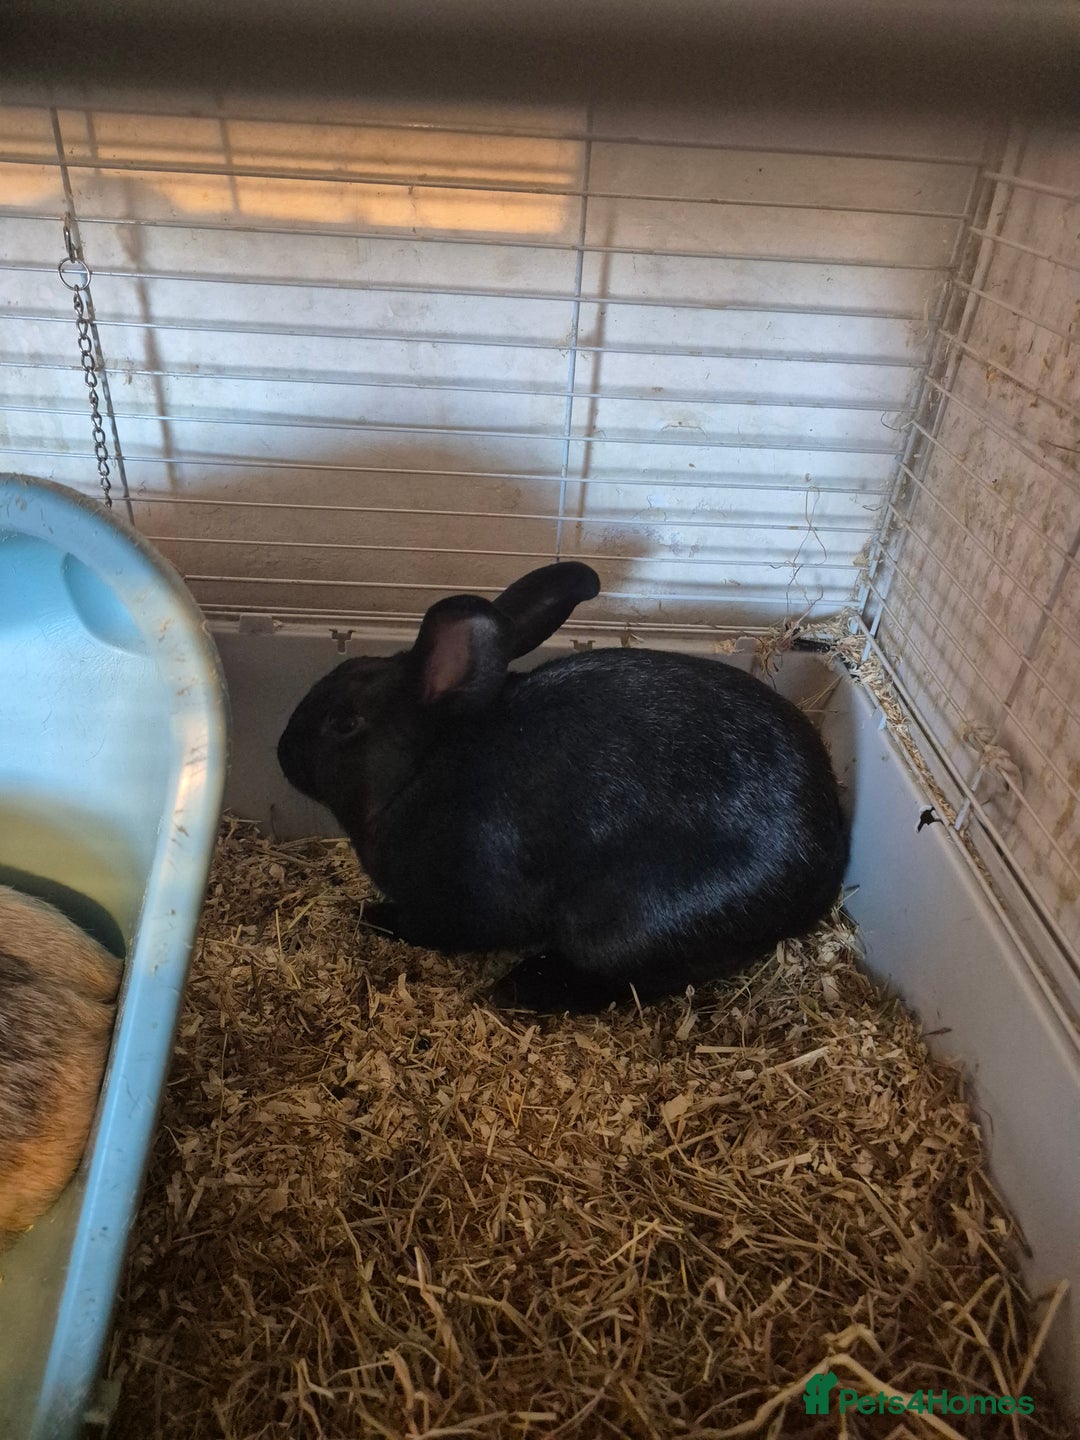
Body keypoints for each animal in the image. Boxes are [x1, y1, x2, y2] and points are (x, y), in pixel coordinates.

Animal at [277, 561, 848, 1014]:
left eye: (344, 723)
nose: (282, 753)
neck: (417, 771)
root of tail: (822, 874)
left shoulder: (460, 903)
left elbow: (431, 927)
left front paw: (373, 916)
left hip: (629, 926)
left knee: (623, 980)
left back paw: (522, 988)